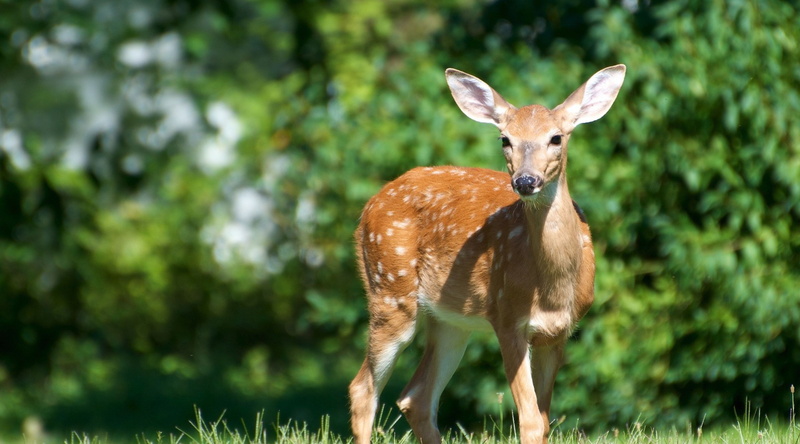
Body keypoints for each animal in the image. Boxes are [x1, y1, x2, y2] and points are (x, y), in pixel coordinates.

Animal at [348, 64, 626, 444]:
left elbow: (544, 419)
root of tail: (368, 208)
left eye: (556, 138)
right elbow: (530, 421)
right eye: (505, 139)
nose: (525, 181)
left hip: (451, 320)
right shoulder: (506, 316)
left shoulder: (558, 332)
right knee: (363, 388)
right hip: (390, 291)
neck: (552, 288)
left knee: (414, 397)